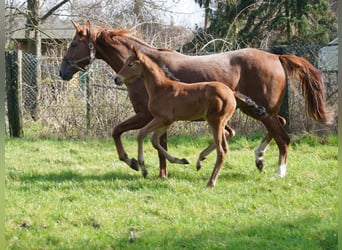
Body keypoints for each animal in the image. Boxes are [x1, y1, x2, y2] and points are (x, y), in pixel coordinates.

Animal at [59, 20, 334, 179]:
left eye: (73, 44)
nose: (62, 72)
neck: (149, 71)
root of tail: (276, 57)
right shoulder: (158, 118)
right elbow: (157, 143)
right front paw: (162, 171)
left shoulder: (147, 115)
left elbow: (119, 132)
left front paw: (135, 163)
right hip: (253, 108)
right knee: (280, 126)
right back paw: (258, 158)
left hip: (260, 110)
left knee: (283, 136)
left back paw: (278, 171)